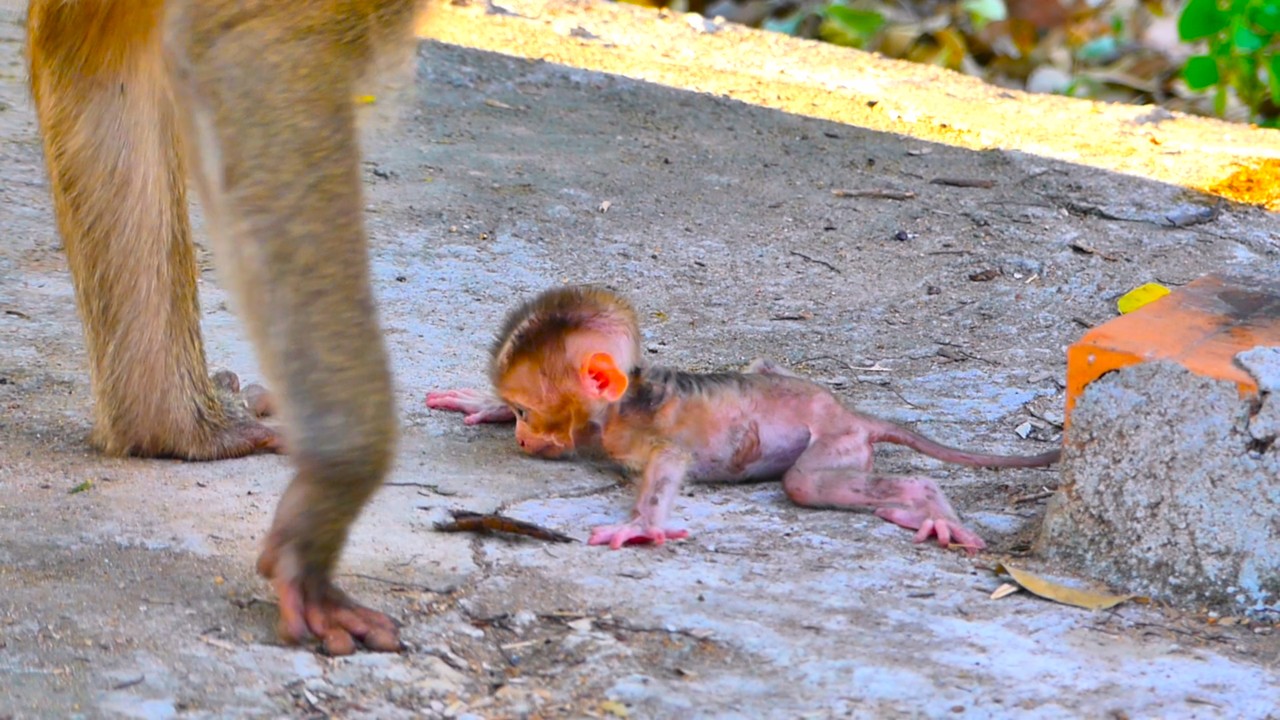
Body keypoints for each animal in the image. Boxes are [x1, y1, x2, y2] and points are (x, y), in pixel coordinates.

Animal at [428, 286, 1061, 554]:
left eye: (529, 411)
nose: (520, 435)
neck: (621, 404)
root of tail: (848, 411)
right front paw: (481, 403)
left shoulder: (638, 433)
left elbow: (668, 465)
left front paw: (643, 525)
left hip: (834, 444)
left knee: (806, 483)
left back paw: (926, 502)